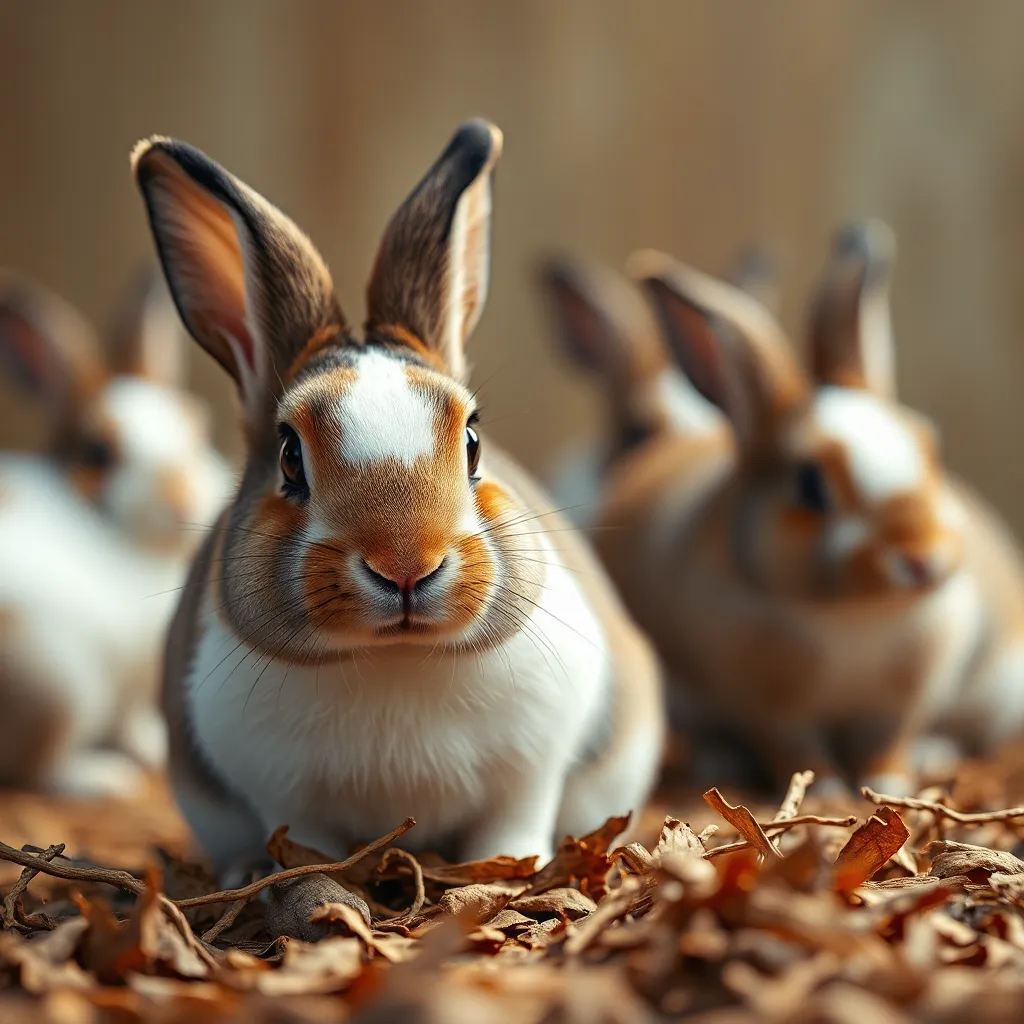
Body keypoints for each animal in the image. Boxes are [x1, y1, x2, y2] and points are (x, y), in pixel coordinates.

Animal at [0, 271, 233, 796]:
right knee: (36, 772)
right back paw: (106, 778)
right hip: (59, 687)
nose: (181, 498)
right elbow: (129, 723)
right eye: (99, 455)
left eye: (196, 427)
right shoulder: (130, 681)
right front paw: (151, 752)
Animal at [130, 118, 665, 898]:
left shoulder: (529, 776)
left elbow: (511, 829)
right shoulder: (287, 798)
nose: (407, 566)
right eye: (289, 456)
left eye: (473, 441)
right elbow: (307, 844)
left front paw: (518, 872)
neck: (397, 658)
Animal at [543, 221, 1024, 796]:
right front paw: (830, 791)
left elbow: (888, 744)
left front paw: (888, 785)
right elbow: (797, 748)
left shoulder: (899, 703)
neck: (853, 619)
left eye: (928, 446)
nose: (921, 558)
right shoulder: (773, 711)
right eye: (811, 485)